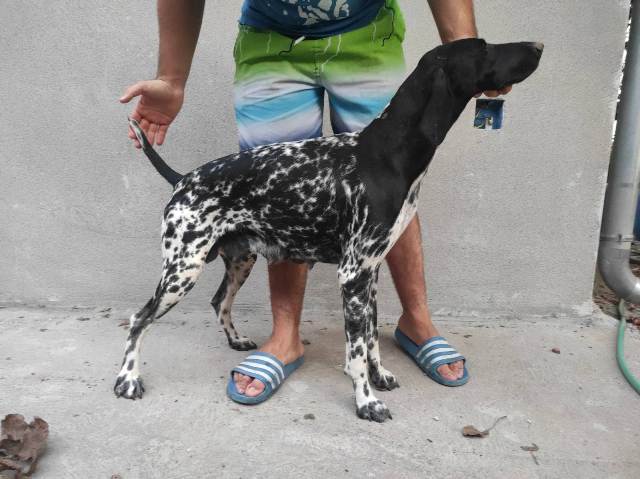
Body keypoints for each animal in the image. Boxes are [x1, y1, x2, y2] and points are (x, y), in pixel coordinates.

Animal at [115, 39, 540, 422]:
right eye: (483, 48)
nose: (537, 47)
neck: (387, 153)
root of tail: (183, 178)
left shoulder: (370, 272)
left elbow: (371, 337)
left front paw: (380, 375)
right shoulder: (352, 274)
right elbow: (355, 351)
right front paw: (366, 401)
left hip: (238, 260)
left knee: (219, 301)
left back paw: (236, 341)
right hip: (181, 270)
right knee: (139, 320)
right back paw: (127, 379)